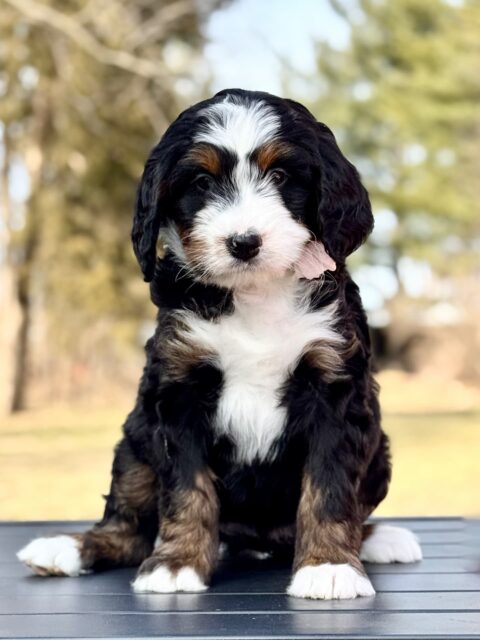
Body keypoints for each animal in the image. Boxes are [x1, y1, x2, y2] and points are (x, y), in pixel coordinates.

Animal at [16, 89, 420, 600]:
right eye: (202, 182)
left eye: (280, 176)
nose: (243, 242)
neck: (255, 296)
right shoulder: (179, 392)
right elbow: (187, 487)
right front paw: (176, 564)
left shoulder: (336, 391)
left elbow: (328, 488)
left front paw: (328, 566)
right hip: (135, 442)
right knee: (127, 524)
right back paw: (66, 548)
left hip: (378, 453)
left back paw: (379, 538)